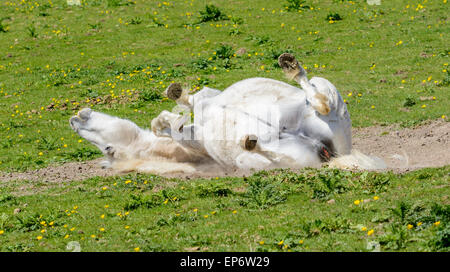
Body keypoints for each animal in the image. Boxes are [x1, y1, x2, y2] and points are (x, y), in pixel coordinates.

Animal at [68, 53, 384, 174]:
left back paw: (290, 65)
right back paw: (251, 140)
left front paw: (173, 106)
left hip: (315, 101)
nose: (74, 119)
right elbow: (179, 120)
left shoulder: (206, 101)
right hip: (269, 153)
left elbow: (189, 103)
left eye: (106, 147)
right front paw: (170, 119)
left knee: (315, 95)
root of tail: (330, 153)